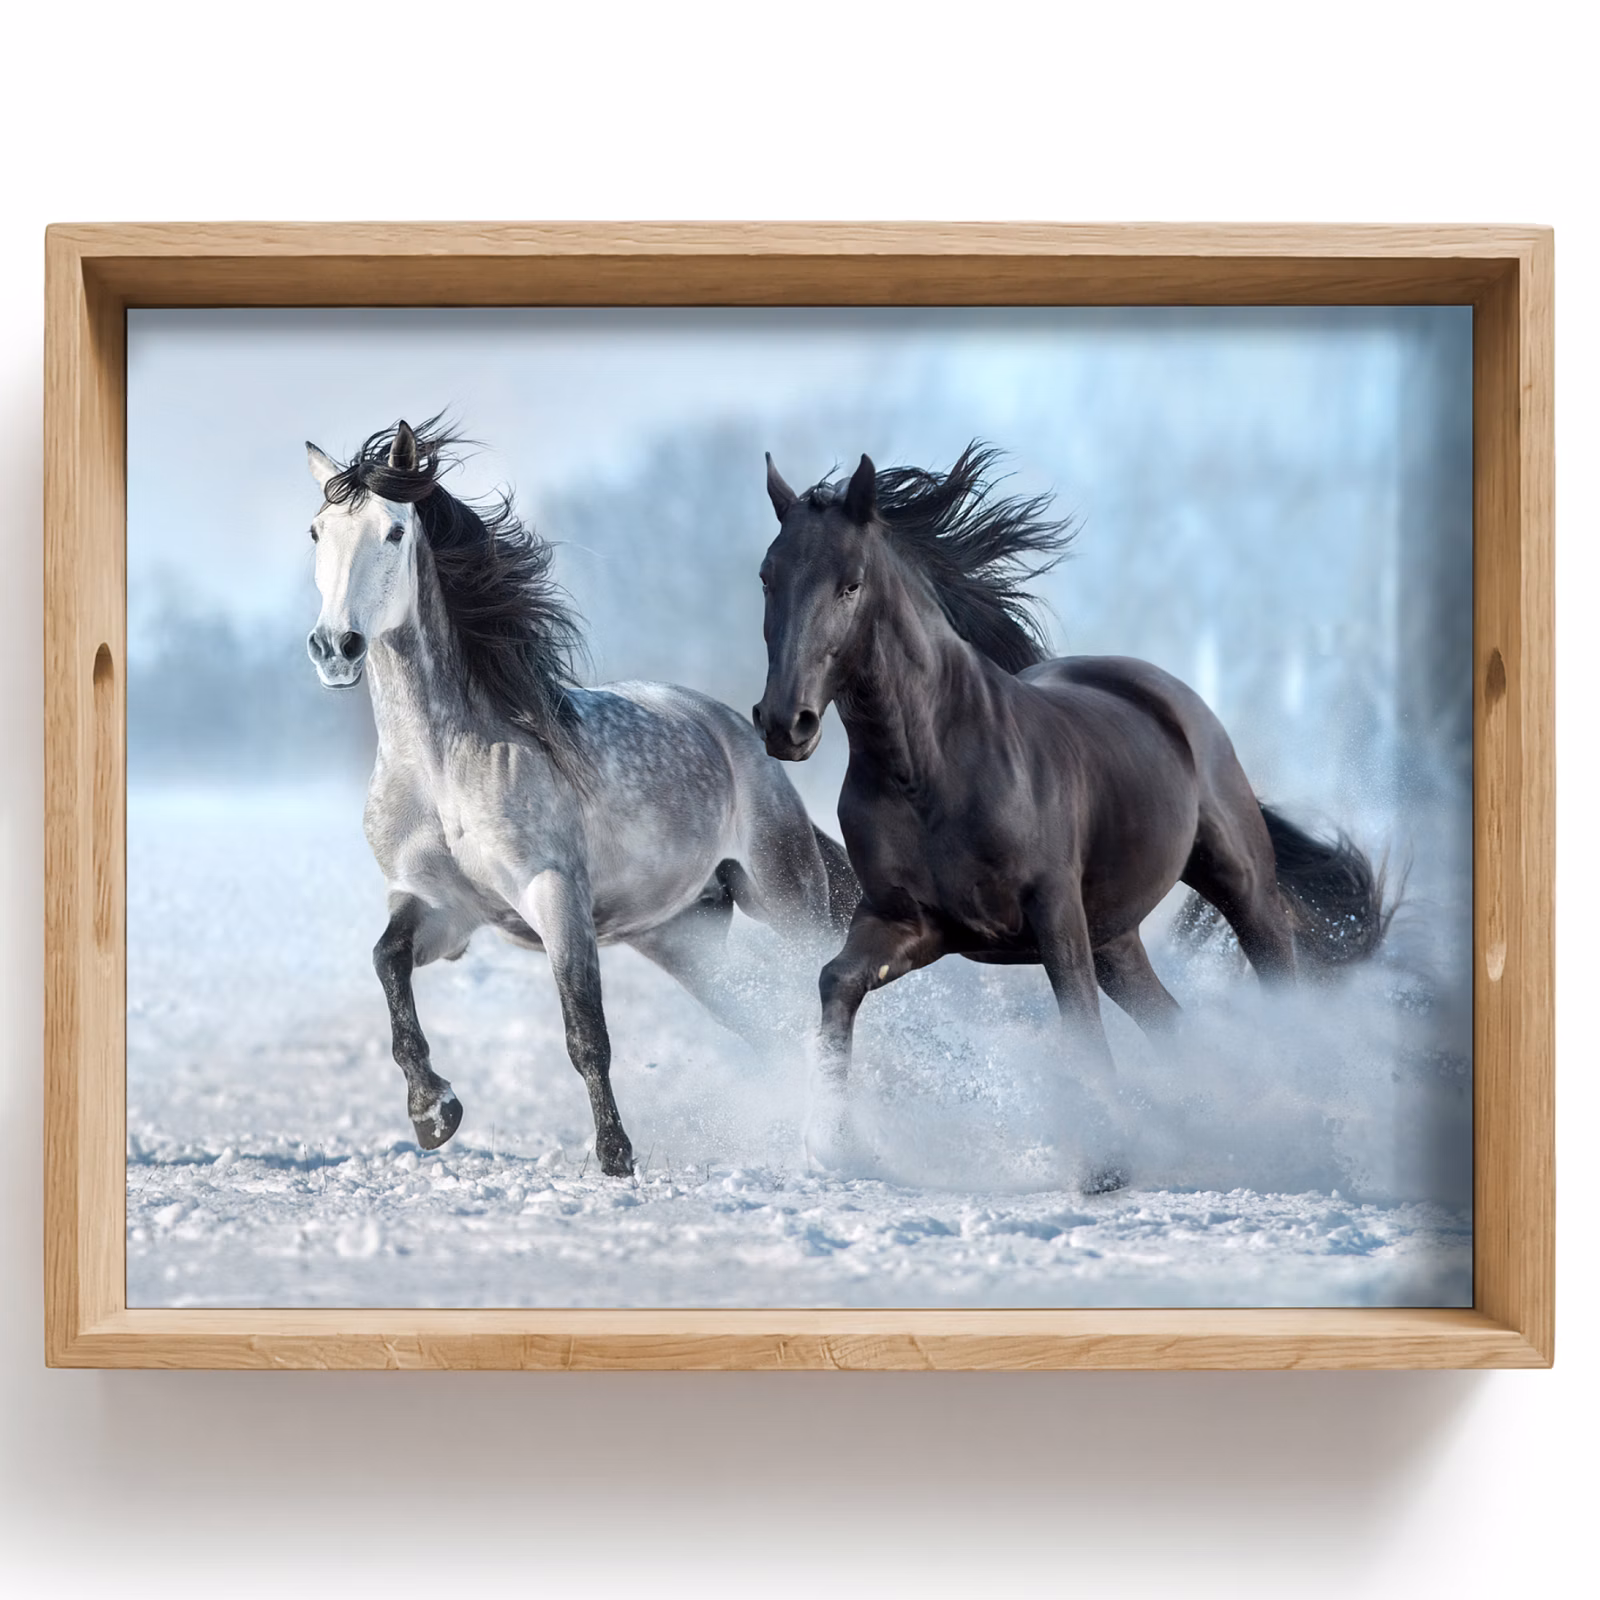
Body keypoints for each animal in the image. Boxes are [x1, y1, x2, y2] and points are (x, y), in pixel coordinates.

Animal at [304, 417, 856, 1176]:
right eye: (316, 531)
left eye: (392, 531)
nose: (337, 647)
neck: (441, 768)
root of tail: (735, 732)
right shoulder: (440, 907)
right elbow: (387, 964)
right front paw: (433, 1111)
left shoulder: (554, 894)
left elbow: (585, 1031)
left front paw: (615, 1157)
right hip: (681, 937)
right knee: (763, 1022)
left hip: (786, 896)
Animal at [752, 444, 1390, 1141]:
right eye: (767, 576)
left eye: (851, 583)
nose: (785, 724)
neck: (929, 772)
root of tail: (1166, 694)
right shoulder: (910, 923)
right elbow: (836, 981)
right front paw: (829, 1140)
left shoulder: (1054, 915)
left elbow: (1083, 1034)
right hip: (1116, 937)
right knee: (1173, 1024)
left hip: (1240, 884)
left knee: (1278, 981)